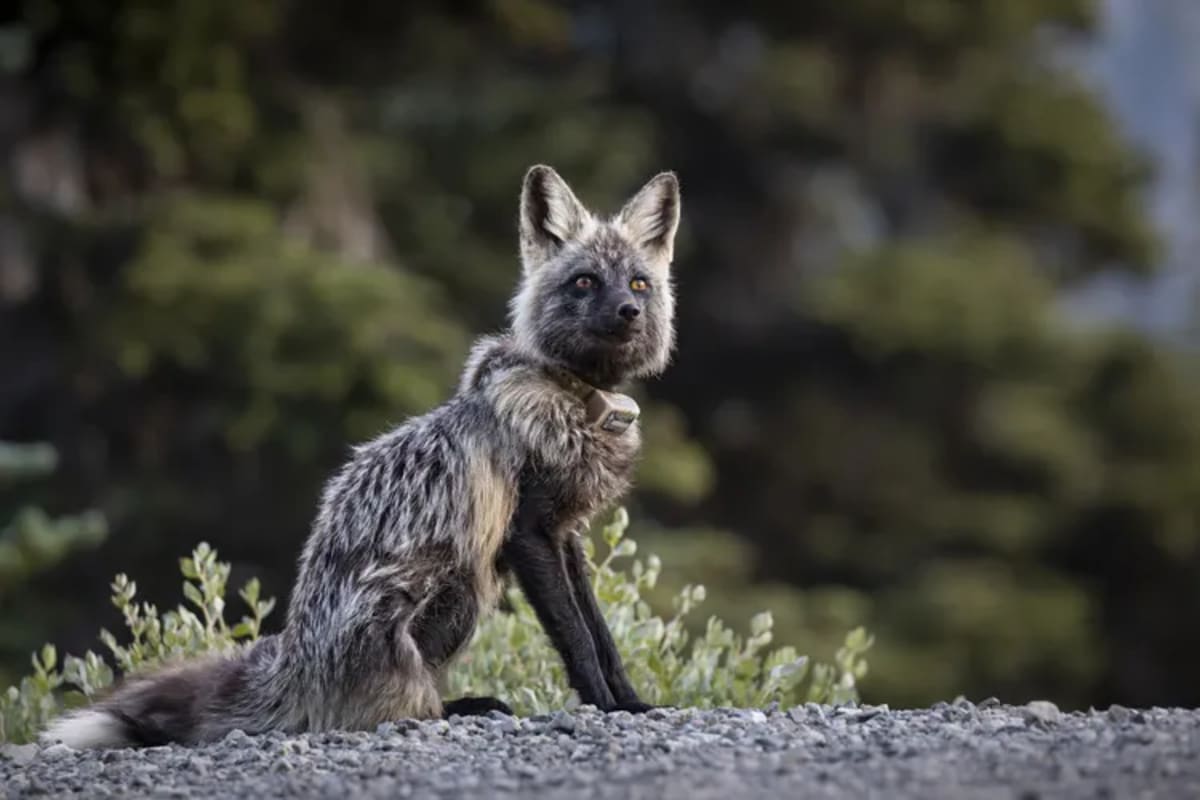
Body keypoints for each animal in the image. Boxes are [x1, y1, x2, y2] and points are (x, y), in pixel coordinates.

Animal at [41, 164, 683, 748]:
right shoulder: (528, 532)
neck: (573, 399)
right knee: (383, 711)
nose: (628, 312)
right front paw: (605, 706)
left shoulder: (566, 533)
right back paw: (456, 709)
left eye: (638, 284)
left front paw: (633, 701)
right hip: (461, 582)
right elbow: (577, 638)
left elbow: (602, 634)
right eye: (585, 282)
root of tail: (293, 658)